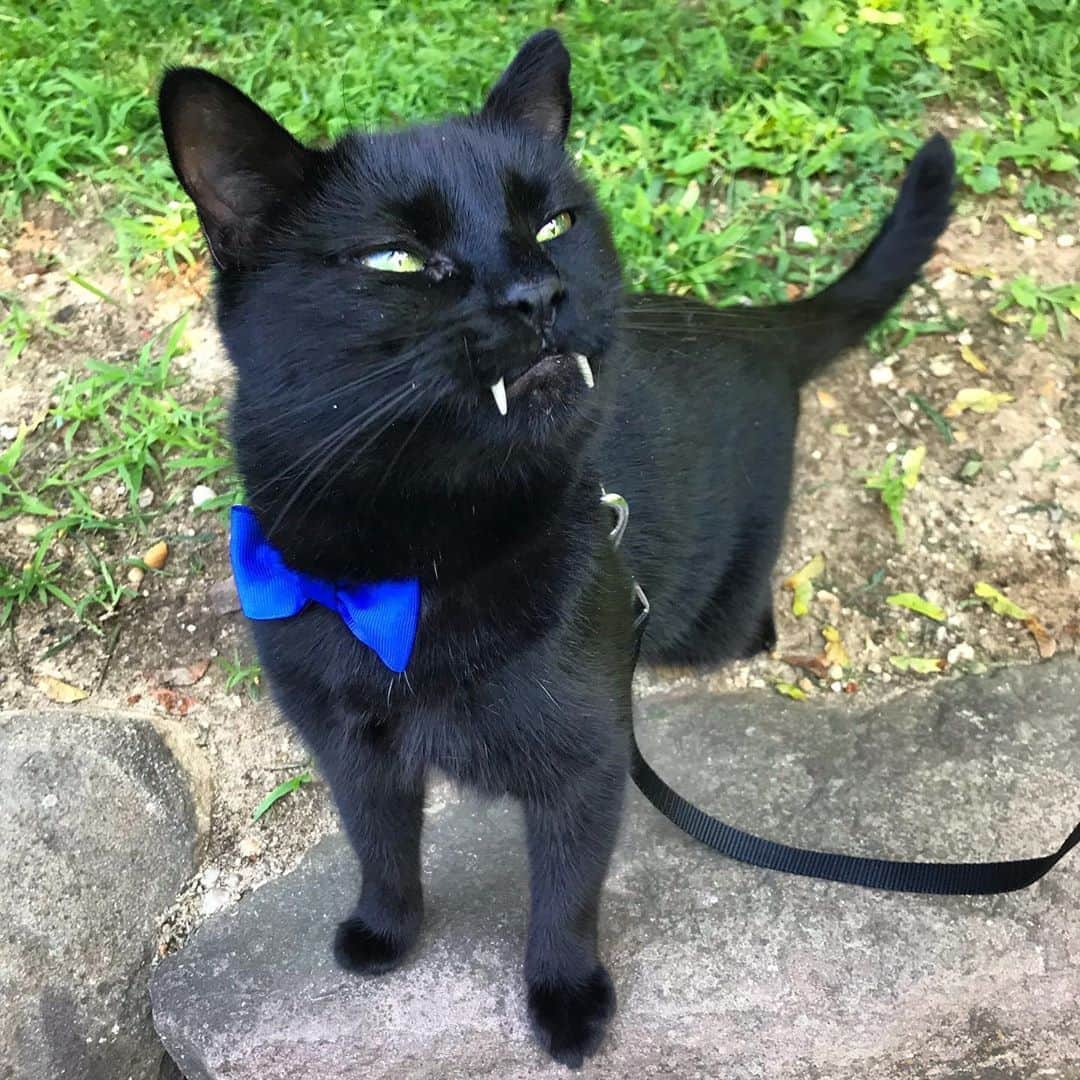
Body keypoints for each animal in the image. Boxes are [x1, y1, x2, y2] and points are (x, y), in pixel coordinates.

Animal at [157, 29, 954, 1067]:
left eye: (555, 223)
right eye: (395, 257)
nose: (537, 292)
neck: (420, 569)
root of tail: (748, 319)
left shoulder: (588, 761)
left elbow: (565, 896)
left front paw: (568, 1002)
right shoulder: (347, 747)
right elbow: (380, 844)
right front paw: (385, 931)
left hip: (717, 605)